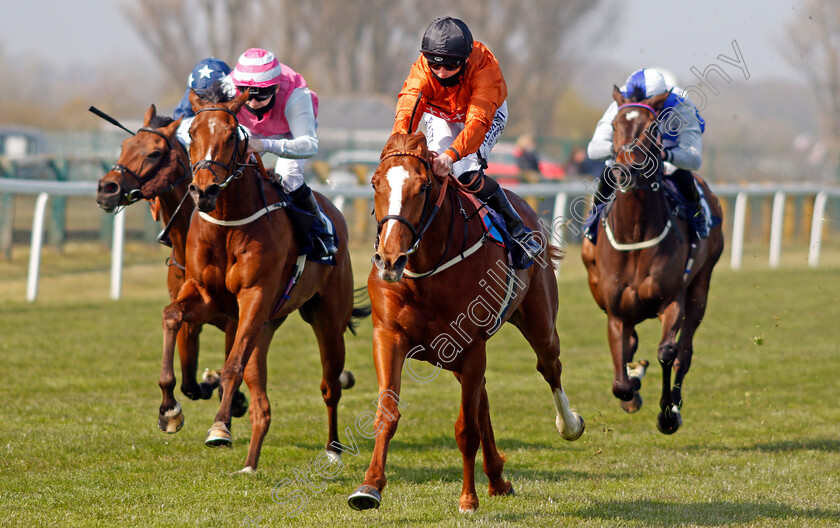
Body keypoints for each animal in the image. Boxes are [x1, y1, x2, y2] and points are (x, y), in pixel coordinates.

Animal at [96, 104, 246, 434]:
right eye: (125, 145)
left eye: (154, 153)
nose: (106, 188)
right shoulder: (189, 316)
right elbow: (189, 383)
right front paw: (179, 403)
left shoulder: (233, 318)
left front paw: (231, 398)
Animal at [162, 88, 362, 472]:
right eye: (191, 133)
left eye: (231, 136)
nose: (204, 191)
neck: (228, 224)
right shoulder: (204, 295)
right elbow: (172, 315)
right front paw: (169, 409)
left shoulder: (254, 297)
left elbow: (232, 367)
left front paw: (220, 427)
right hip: (266, 327)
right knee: (262, 406)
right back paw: (250, 463)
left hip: (327, 320)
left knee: (330, 386)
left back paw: (332, 449)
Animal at [348, 131, 584, 512]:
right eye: (374, 183)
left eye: (423, 187)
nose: (390, 259)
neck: (426, 271)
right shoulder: (388, 336)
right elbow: (387, 413)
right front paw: (369, 487)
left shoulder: (472, 346)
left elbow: (466, 429)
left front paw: (468, 498)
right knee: (484, 396)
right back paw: (497, 477)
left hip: (539, 324)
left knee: (550, 367)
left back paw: (569, 425)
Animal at [580, 85, 724, 434]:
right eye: (615, 125)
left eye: (651, 128)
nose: (624, 170)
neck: (635, 234)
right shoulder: (615, 312)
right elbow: (620, 379)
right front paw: (632, 385)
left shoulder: (672, 300)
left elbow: (668, 352)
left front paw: (667, 412)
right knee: (632, 342)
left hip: (701, 286)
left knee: (685, 351)